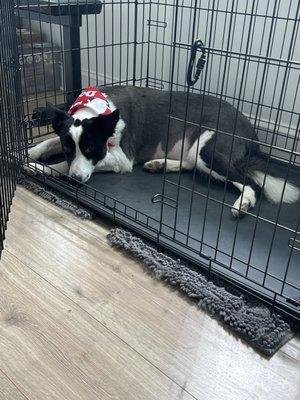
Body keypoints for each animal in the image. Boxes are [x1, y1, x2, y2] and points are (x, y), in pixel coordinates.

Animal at [27, 85, 298, 217]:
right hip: (195, 151)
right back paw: (161, 164)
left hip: (209, 151)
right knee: (190, 164)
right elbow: (50, 142)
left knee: (251, 183)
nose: (76, 180)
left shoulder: (121, 159)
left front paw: (42, 168)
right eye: (67, 148)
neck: (95, 111)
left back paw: (243, 204)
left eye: (91, 148)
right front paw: (31, 152)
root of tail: (251, 131)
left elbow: (64, 166)